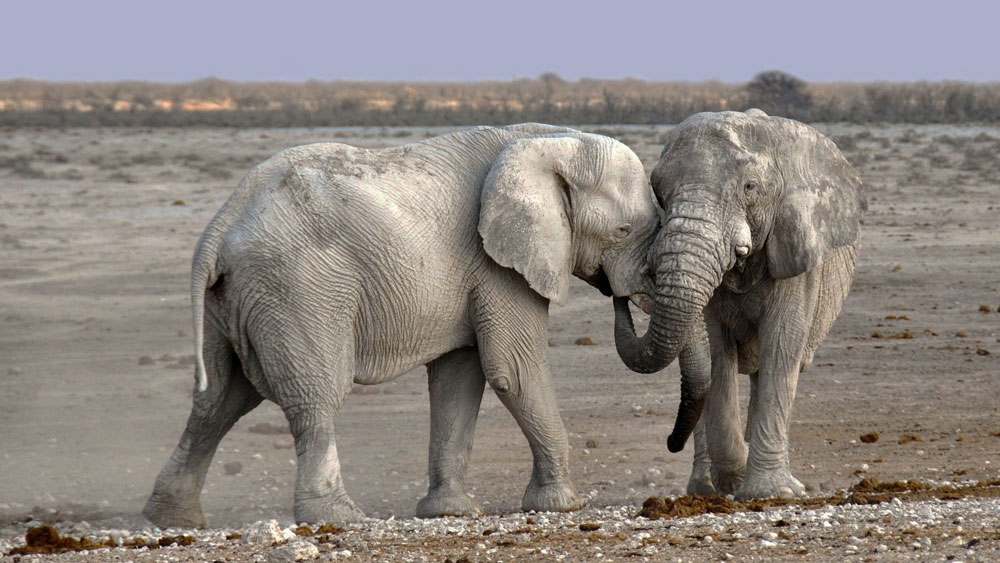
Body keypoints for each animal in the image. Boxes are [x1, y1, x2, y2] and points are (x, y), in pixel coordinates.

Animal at [141, 122, 656, 528]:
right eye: (623, 232)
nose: (621, 296)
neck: (551, 141)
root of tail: (221, 224)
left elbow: (458, 378)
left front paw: (449, 512)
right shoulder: (498, 264)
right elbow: (513, 370)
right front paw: (564, 505)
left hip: (234, 300)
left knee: (219, 400)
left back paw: (173, 519)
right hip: (297, 289)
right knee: (315, 396)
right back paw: (340, 517)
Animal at [612, 109, 864, 498]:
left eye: (750, 187)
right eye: (658, 191)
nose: (621, 295)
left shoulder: (796, 249)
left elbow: (782, 344)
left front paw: (770, 492)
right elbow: (716, 353)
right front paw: (736, 476)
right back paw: (705, 488)